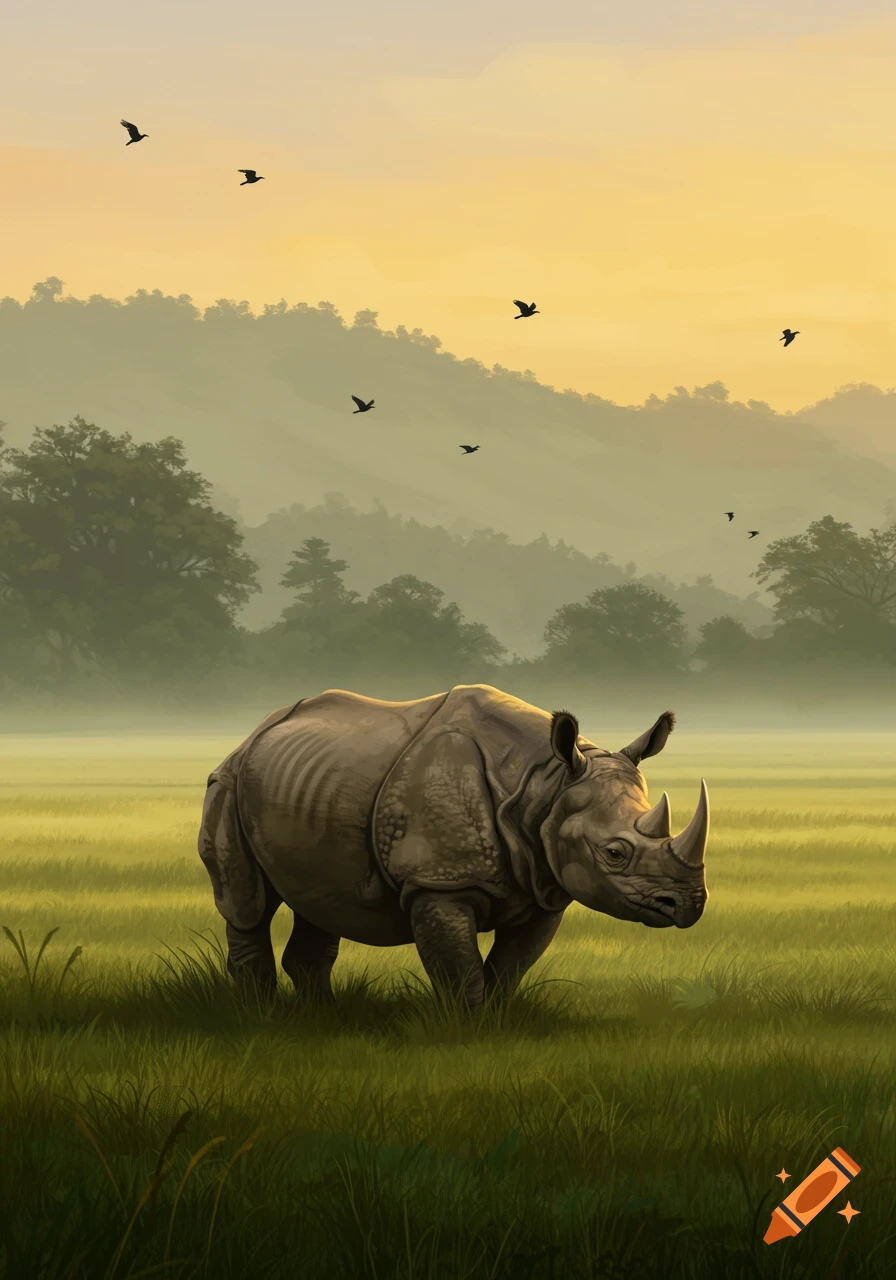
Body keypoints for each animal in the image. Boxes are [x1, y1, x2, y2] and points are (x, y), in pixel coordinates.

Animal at [198, 684, 709, 1008]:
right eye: (614, 854)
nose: (689, 906)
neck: (543, 783)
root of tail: (257, 730)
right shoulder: (439, 883)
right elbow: (461, 972)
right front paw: (469, 1033)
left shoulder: (546, 885)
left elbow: (508, 968)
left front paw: (498, 1024)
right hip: (229, 779)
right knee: (248, 905)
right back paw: (261, 1013)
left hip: (308, 783)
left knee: (320, 901)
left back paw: (322, 1015)